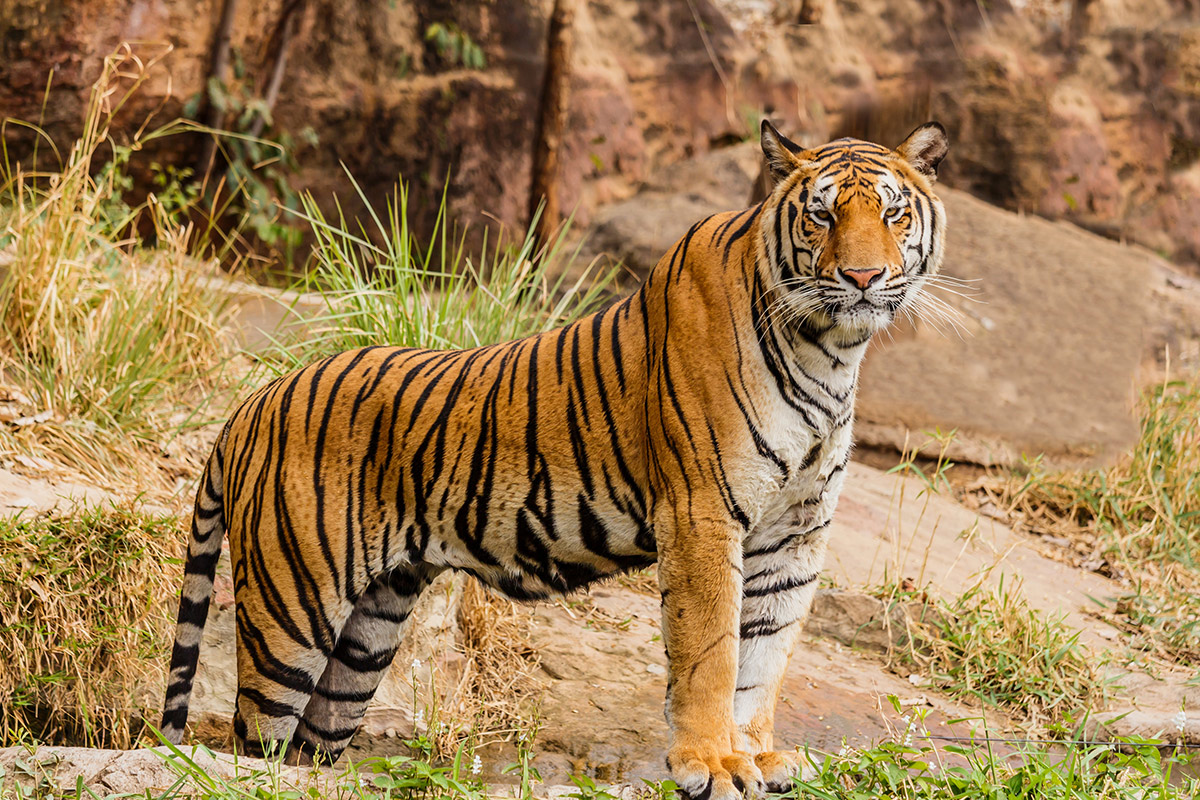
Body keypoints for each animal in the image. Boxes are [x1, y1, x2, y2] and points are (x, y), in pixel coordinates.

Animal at [161, 120, 948, 798]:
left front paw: (755, 756)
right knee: (250, 739)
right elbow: (712, 653)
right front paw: (712, 764)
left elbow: (765, 655)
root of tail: (252, 403)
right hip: (290, 610)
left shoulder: (795, 532)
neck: (831, 351)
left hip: (367, 634)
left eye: (893, 215)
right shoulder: (702, 515)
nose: (863, 277)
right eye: (821, 216)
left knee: (308, 747)